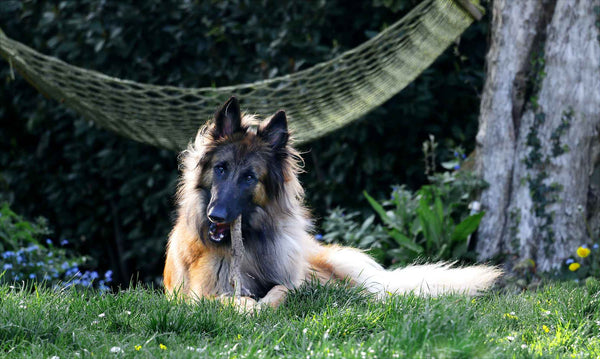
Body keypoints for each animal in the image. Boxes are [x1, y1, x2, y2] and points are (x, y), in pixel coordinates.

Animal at [164, 97, 502, 310]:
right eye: (221, 169)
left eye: (249, 177)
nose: (216, 216)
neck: (248, 241)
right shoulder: (198, 295)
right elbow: (231, 300)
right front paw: (248, 307)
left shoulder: (295, 280)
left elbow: (283, 290)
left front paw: (265, 305)